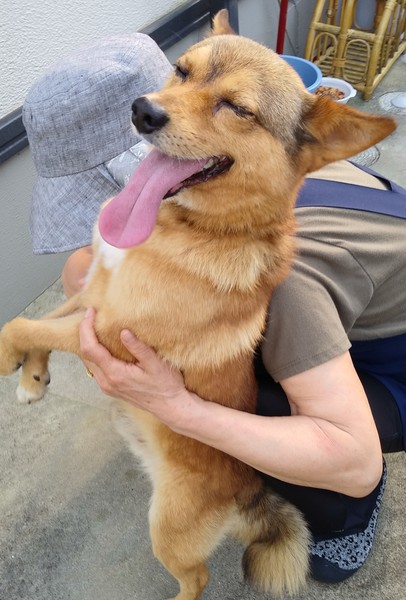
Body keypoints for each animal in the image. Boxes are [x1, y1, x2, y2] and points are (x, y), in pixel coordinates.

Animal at [0, 10, 396, 600]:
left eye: (237, 108)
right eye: (181, 70)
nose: (143, 111)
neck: (191, 225)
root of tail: (250, 495)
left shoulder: (110, 331)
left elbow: (22, 324)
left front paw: (11, 360)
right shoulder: (94, 292)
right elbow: (41, 321)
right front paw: (32, 379)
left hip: (168, 529)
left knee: (197, 578)